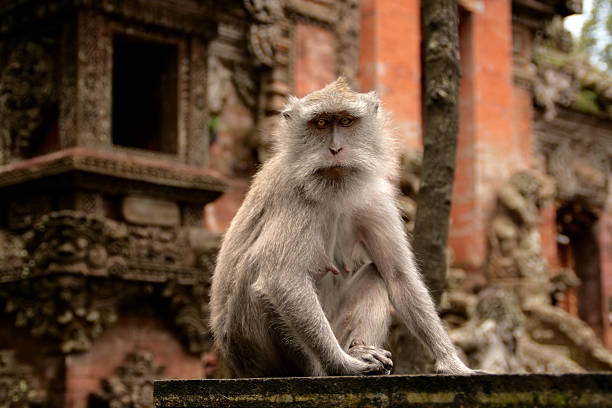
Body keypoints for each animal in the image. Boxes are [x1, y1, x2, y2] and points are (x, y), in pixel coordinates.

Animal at [210, 76, 474, 376]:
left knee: (375, 275)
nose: (335, 149)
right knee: (258, 270)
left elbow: (398, 277)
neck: (334, 191)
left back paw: (360, 348)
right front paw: (344, 365)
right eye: (321, 123)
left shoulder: (375, 197)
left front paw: (452, 362)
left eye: (346, 121)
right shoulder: (294, 195)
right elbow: (281, 277)